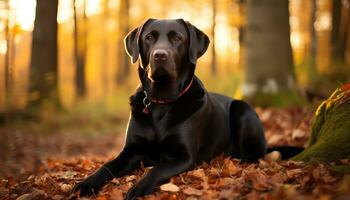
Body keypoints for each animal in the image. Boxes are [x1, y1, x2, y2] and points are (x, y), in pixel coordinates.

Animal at [74, 18, 268, 198]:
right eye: (149, 37)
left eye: (177, 38)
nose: (160, 55)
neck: (162, 100)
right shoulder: (131, 151)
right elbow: (107, 166)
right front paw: (87, 182)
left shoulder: (184, 157)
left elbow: (157, 169)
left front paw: (138, 187)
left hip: (242, 109)